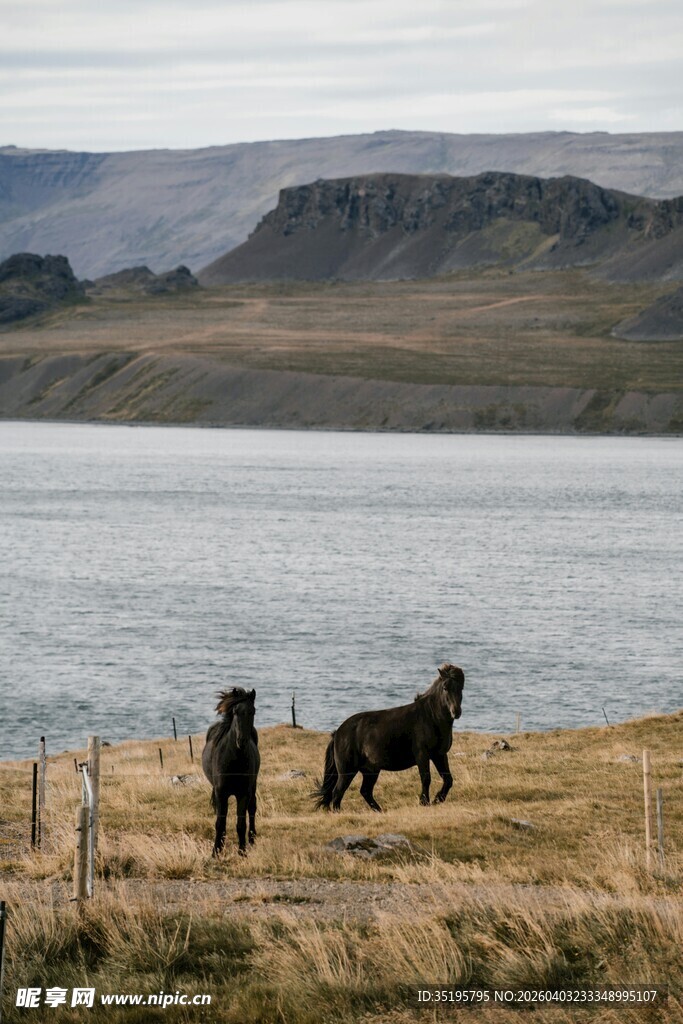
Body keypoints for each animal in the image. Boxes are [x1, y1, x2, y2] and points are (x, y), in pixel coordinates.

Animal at [202, 687, 260, 855]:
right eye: (235, 711)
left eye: (253, 711)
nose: (242, 741)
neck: (234, 760)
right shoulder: (221, 793)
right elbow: (220, 823)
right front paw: (216, 851)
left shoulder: (243, 793)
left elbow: (241, 823)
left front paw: (242, 851)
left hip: (253, 785)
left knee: (252, 808)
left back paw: (252, 840)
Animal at [312, 663, 464, 812]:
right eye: (445, 687)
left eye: (461, 687)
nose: (456, 712)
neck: (430, 717)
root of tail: (337, 733)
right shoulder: (422, 754)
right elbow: (426, 778)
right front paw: (424, 802)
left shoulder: (439, 755)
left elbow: (448, 779)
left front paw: (438, 798)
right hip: (347, 772)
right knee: (338, 793)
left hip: (370, 771)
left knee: (365, 791)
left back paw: (379, 810)